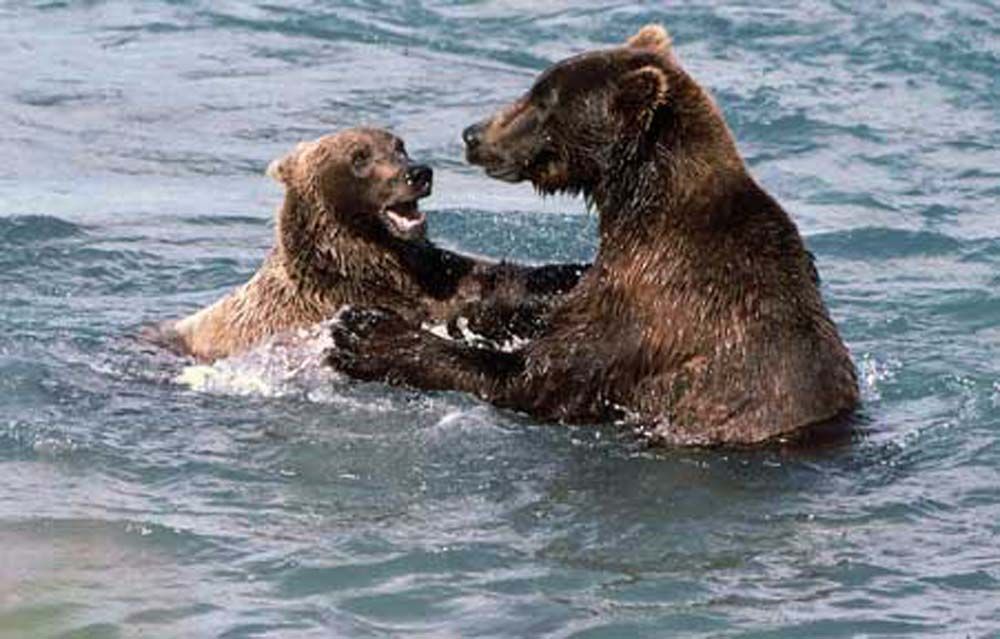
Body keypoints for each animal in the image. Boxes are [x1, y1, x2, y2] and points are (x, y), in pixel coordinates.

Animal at [164, 128, 585, 363]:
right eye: (359, 157)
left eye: (399, 145)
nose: (418, 173)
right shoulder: (347, 296)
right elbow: (453, 314)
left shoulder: (429, 269)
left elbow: (485, 278)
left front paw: (564, 274)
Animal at [328, 26, 860, 447]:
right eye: (536, 87)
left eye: (543, 100)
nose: (473, 134)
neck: (640, 205)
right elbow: (562, 305)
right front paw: (486, 304)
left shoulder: (659, 301)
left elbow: (540, 376)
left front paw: (365, 334)